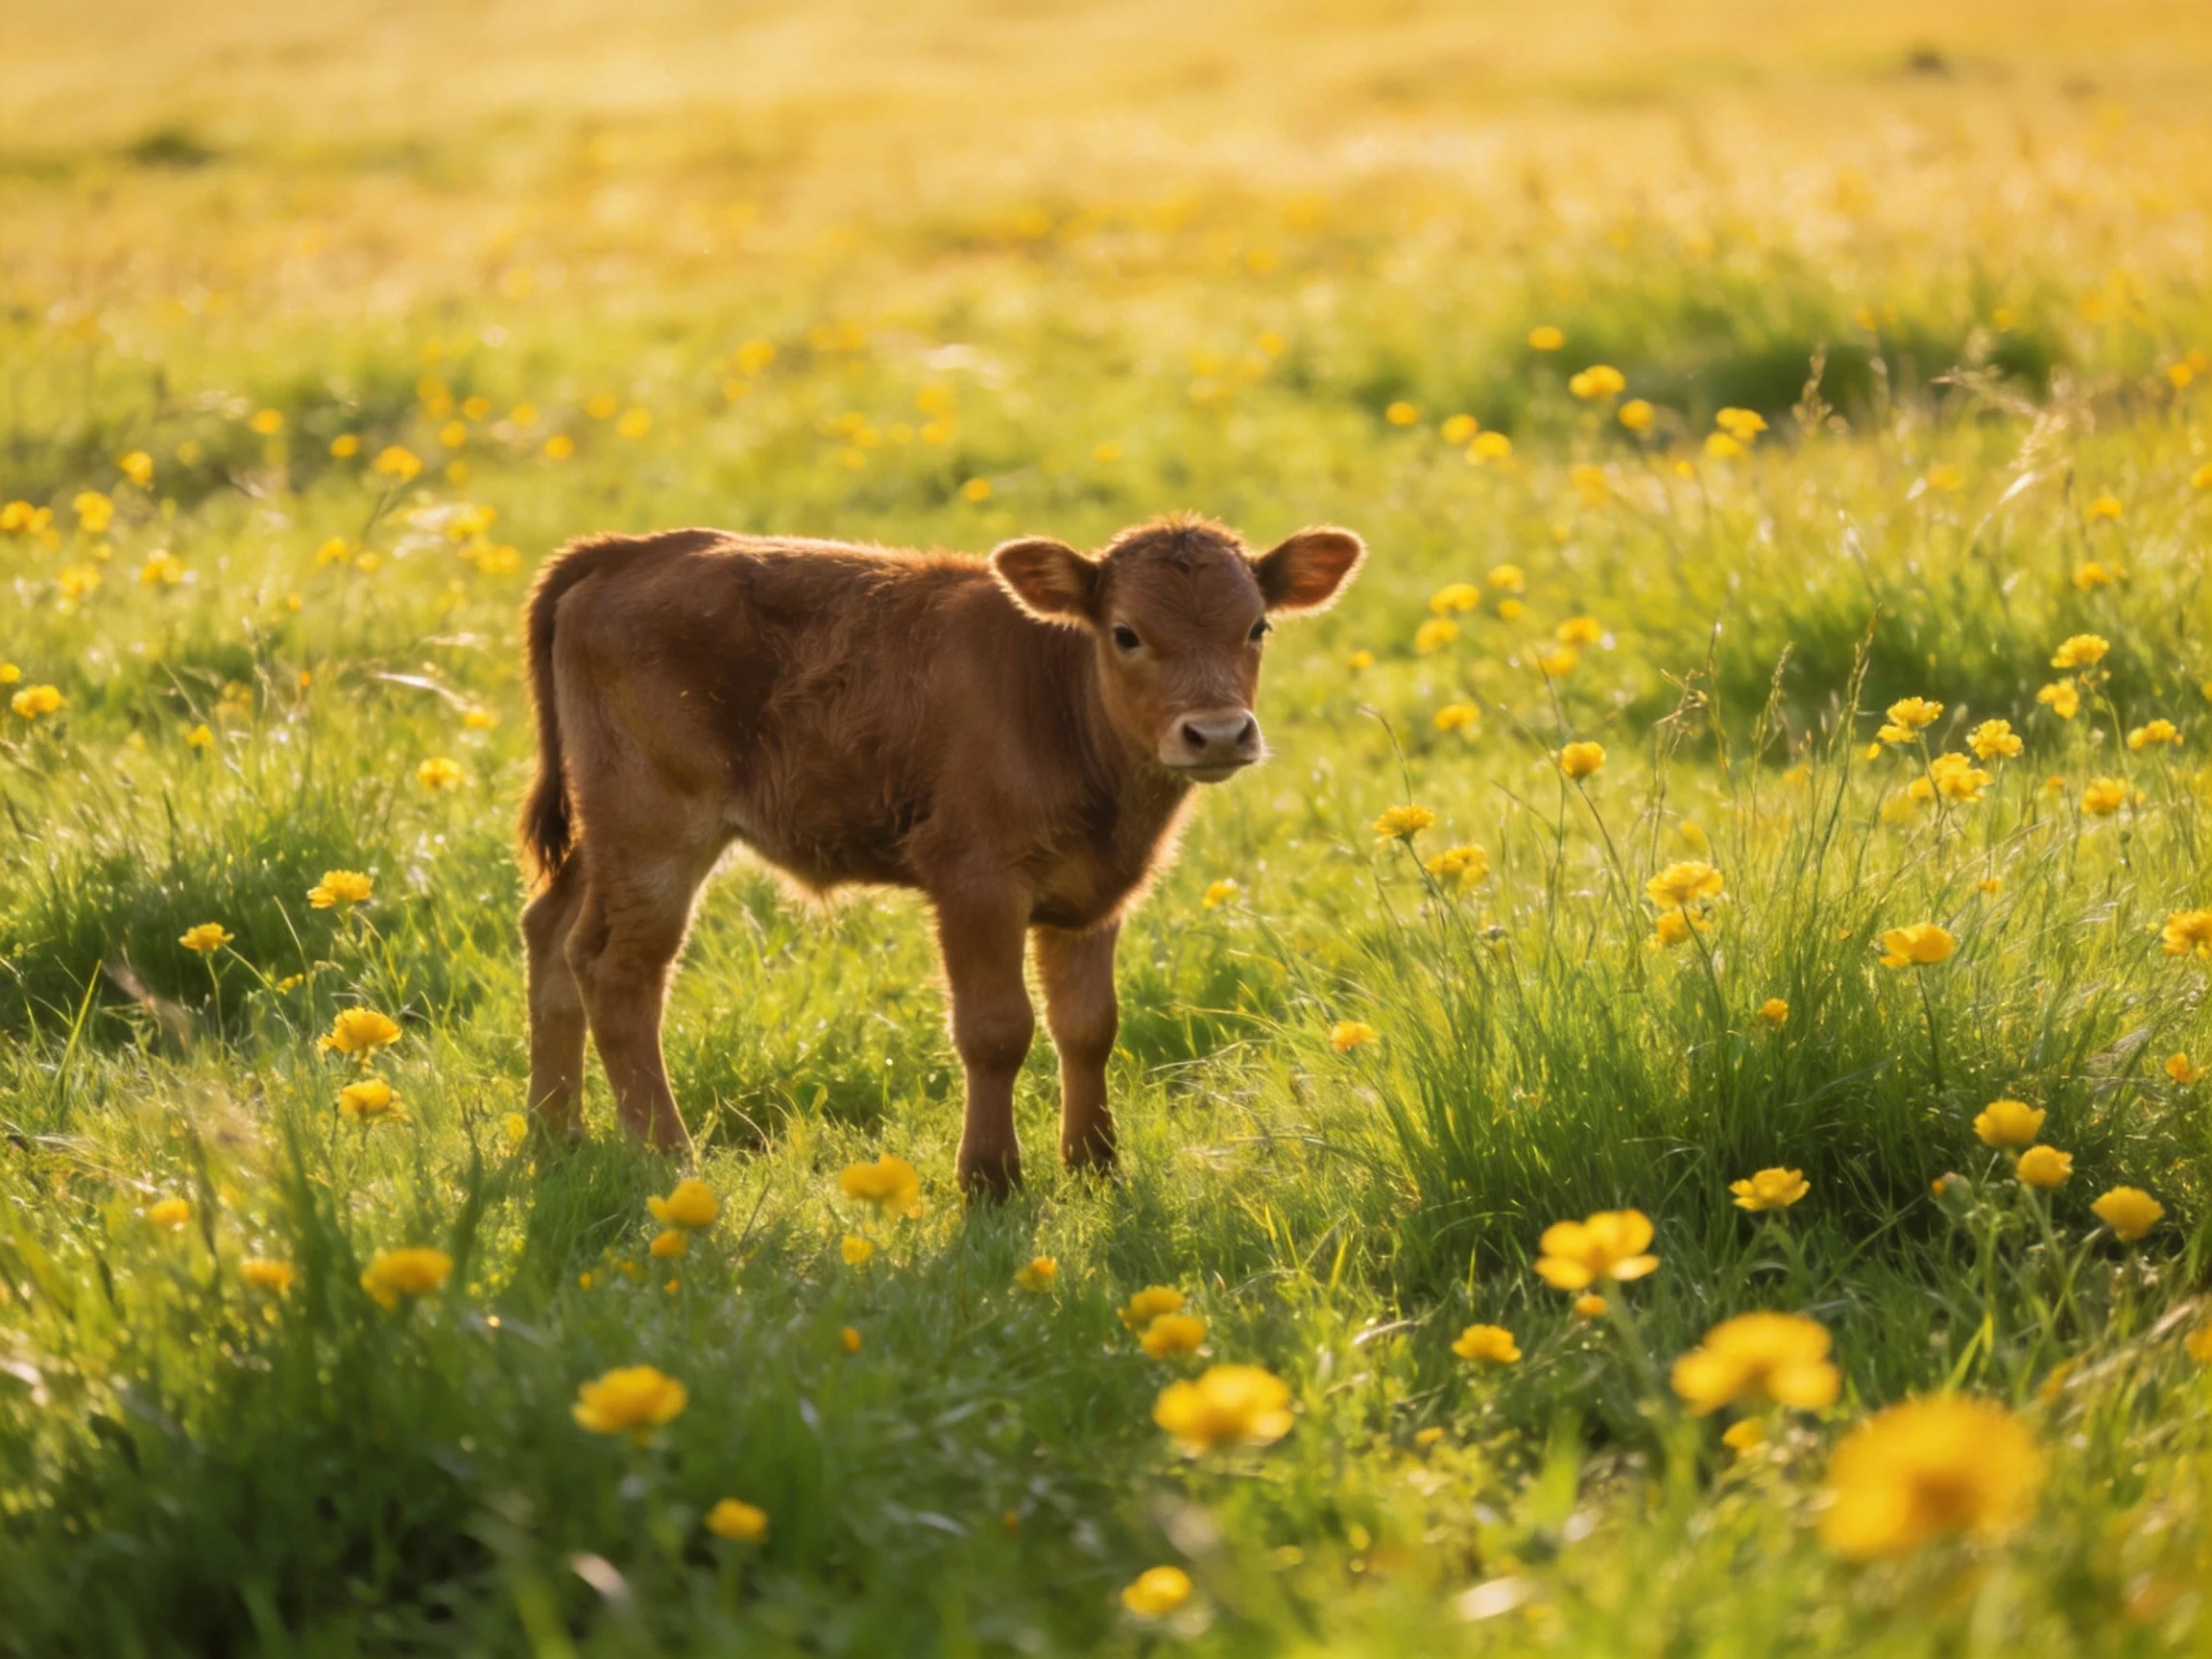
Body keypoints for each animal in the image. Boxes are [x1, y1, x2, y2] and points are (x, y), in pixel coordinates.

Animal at [517, 513, 1364, 1196]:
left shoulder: (1092, 897)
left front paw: (1095, 1167)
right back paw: (667, 1155)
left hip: (602, 836)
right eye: (1126, 632)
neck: (1056, 702)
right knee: (619, 970)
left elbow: (1089, 1025)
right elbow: (996, 1030)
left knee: (551, 934)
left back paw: (556, 1137)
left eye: (1257, 627)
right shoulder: (975, 885)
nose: (1217, 733)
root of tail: (629, 551)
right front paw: (990, 1180)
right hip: (653, 831)